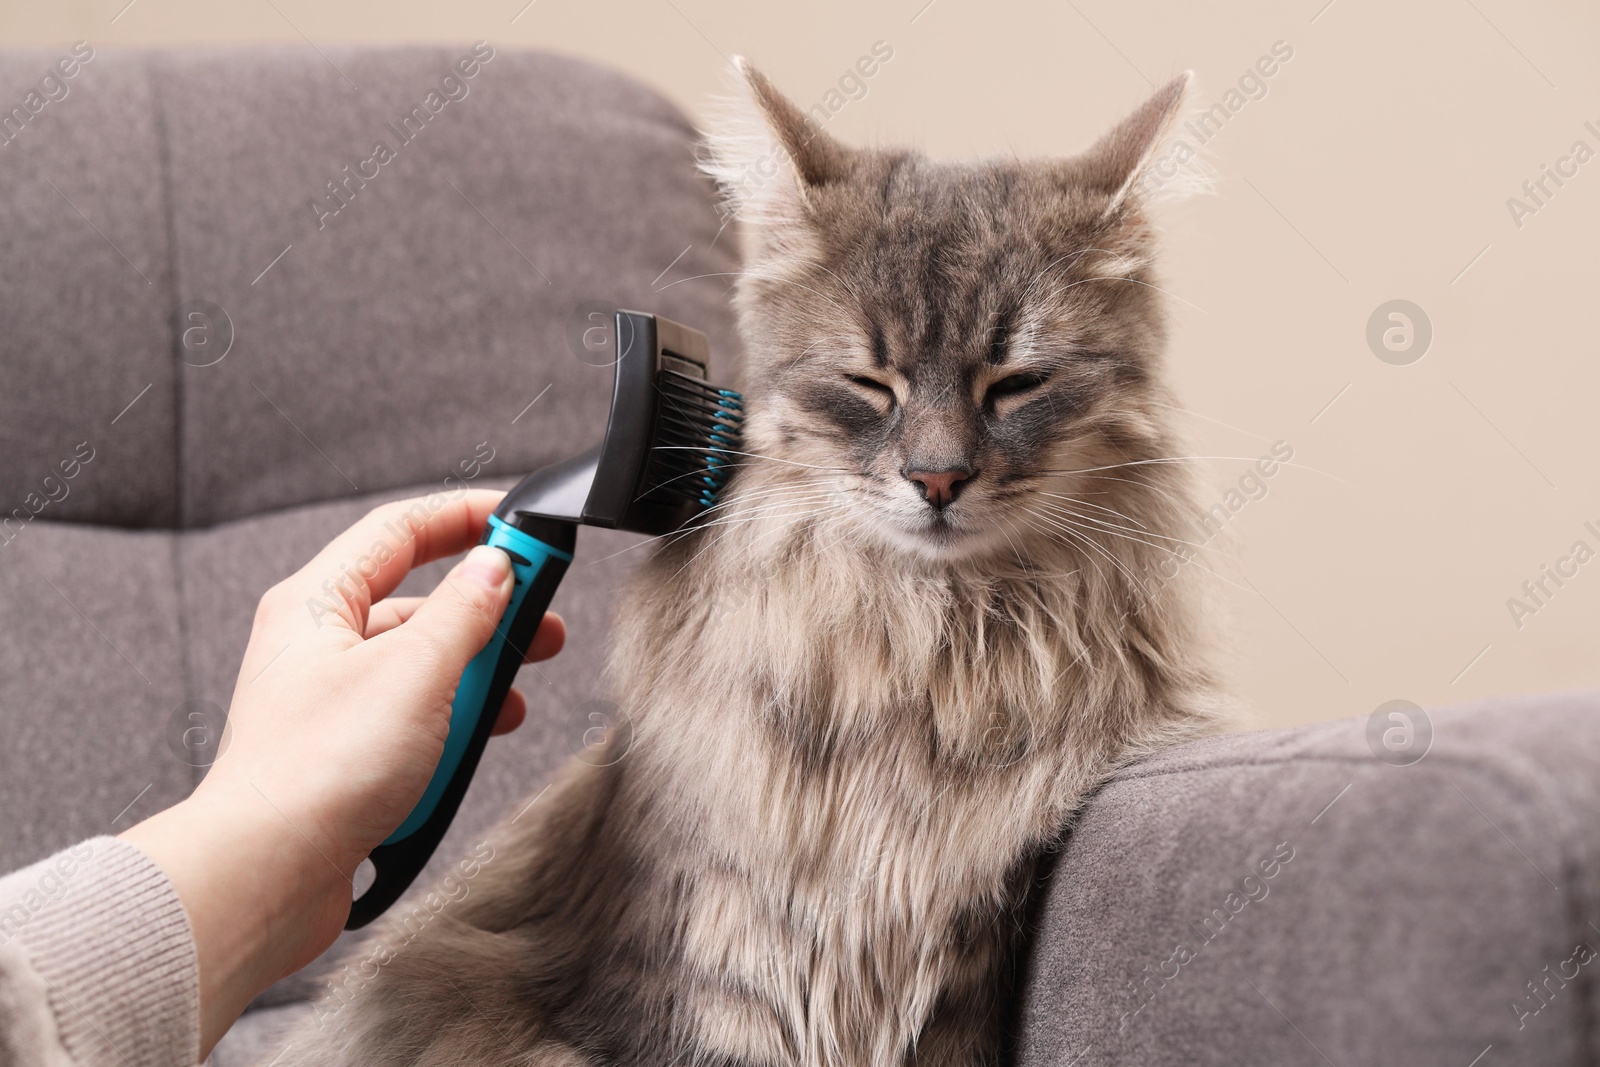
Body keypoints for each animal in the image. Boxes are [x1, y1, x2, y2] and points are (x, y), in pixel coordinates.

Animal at [275, 60, 1222, 1067]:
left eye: (1016, 385)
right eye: (868, 385)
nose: (937, 478)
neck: (923, 649)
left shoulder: (965, 967)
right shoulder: (706, 968)